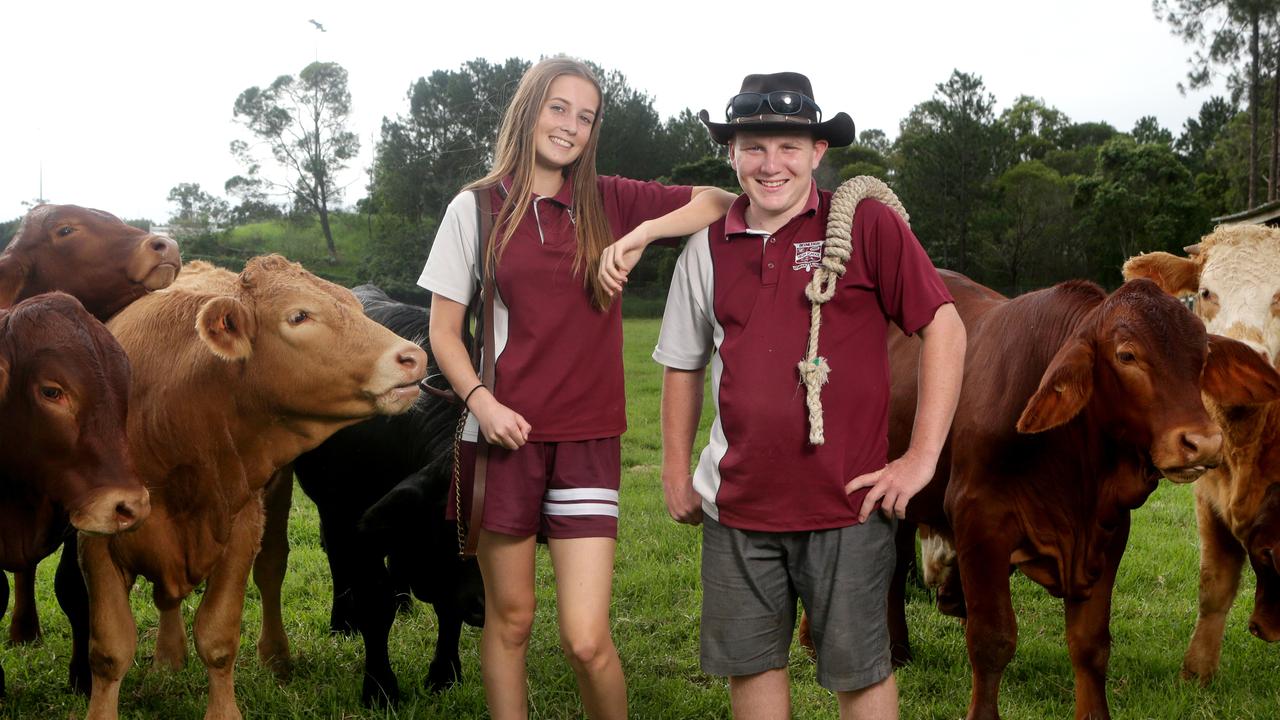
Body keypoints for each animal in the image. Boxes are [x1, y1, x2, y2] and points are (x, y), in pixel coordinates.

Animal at [71, 256, 424, 717]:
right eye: (299, 315)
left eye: (355, 307)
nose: (413, 357)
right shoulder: (95, 539)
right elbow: (110, 650)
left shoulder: (240, 528)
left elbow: (218, 638)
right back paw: (168, 658)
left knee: (271, 570)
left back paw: (276, 657)